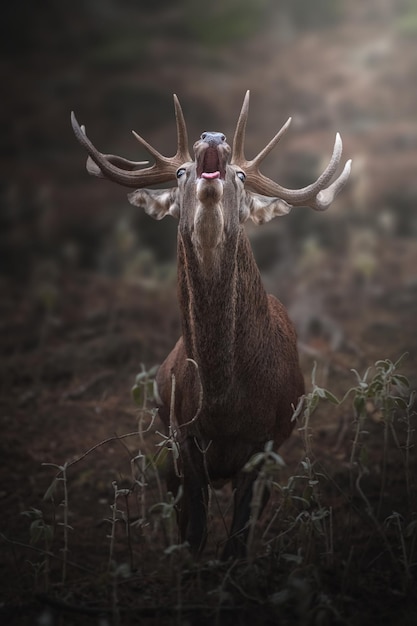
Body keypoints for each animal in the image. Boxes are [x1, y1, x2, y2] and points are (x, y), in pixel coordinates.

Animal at [71, 91, 352, 556]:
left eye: (240, 175)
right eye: (179, 171)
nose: (214, 136)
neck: (225, 403)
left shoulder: (268, 441)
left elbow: (237, 537)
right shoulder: (182, 436)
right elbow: (196, 529)